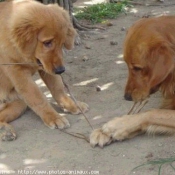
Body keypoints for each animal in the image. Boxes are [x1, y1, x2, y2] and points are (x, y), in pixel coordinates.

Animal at [0, 0, 88, 140]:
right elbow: (38, 97)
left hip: (20, 103)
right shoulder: (18, 73)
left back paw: (6, 131)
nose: (61, 70)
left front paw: (72, 105)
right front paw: (54, 117)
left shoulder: (48, 68)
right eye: (47, 43)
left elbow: (58, 88)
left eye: (62, 43)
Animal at [91, 15, 175, 148]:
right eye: (126, 64)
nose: (127, 97)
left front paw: (118, 124)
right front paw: (102, 132)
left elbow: (152, 113)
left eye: (137, 68)